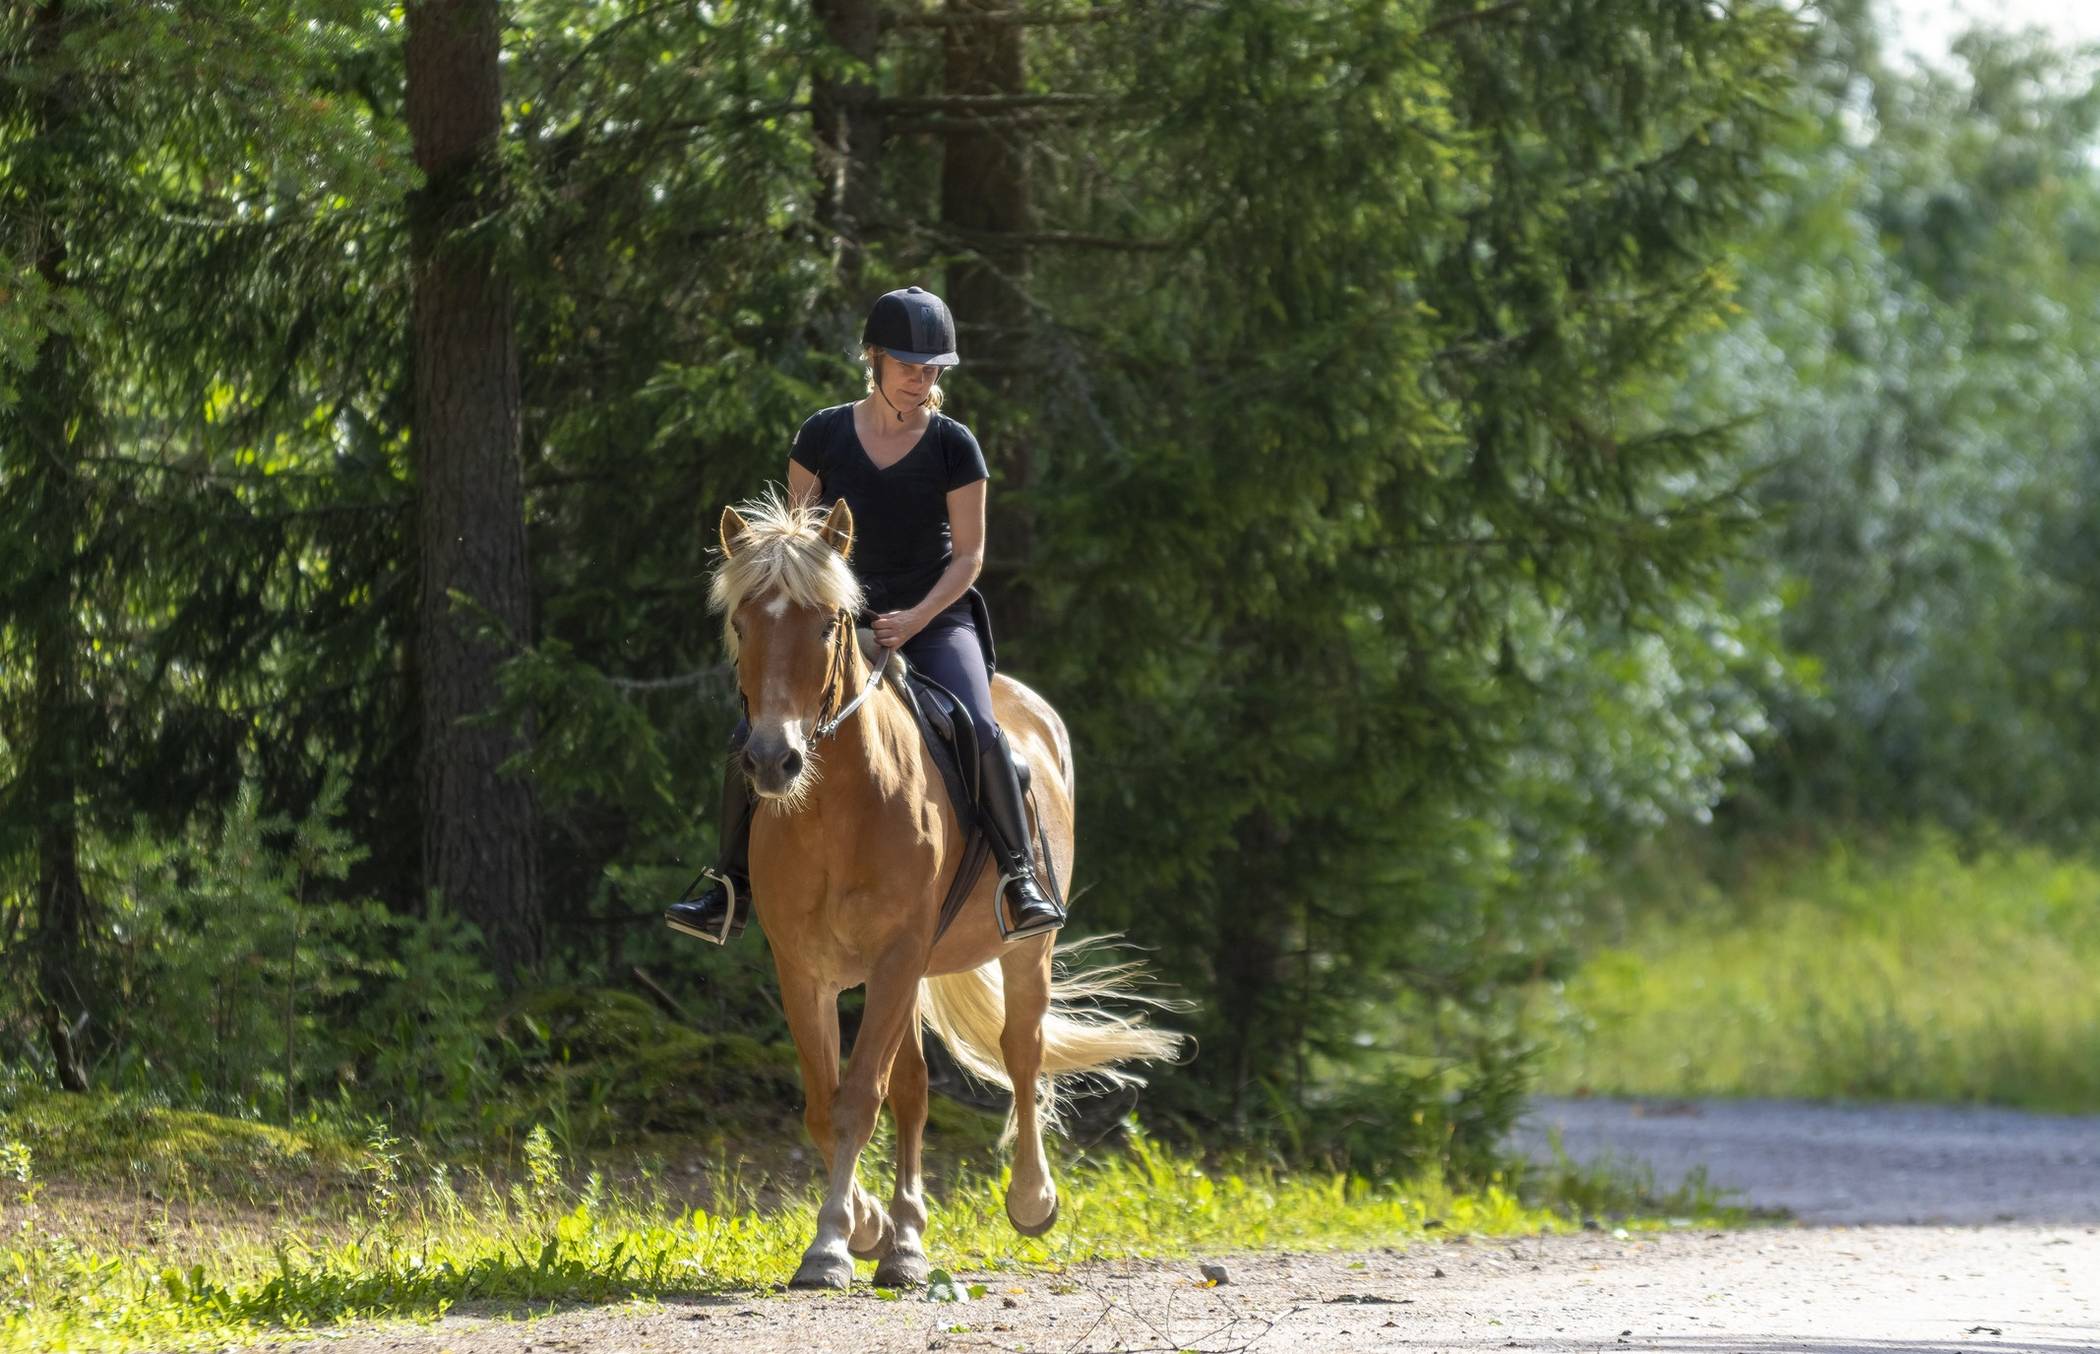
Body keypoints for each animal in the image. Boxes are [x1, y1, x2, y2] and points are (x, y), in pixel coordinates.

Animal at [710, 492, 1185, 1290]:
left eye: (828, 623)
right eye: (743, 623)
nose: (774, 760)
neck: (837, 810)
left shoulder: (898, 957)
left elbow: (857, 1100)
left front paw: (831, 1245)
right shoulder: (803, 967)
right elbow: (825, 1103)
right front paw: (865, 1228)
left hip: (1022, 949)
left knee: (1020, 1052)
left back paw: (1030, 1200)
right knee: (914, 1087)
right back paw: (903, 1241)